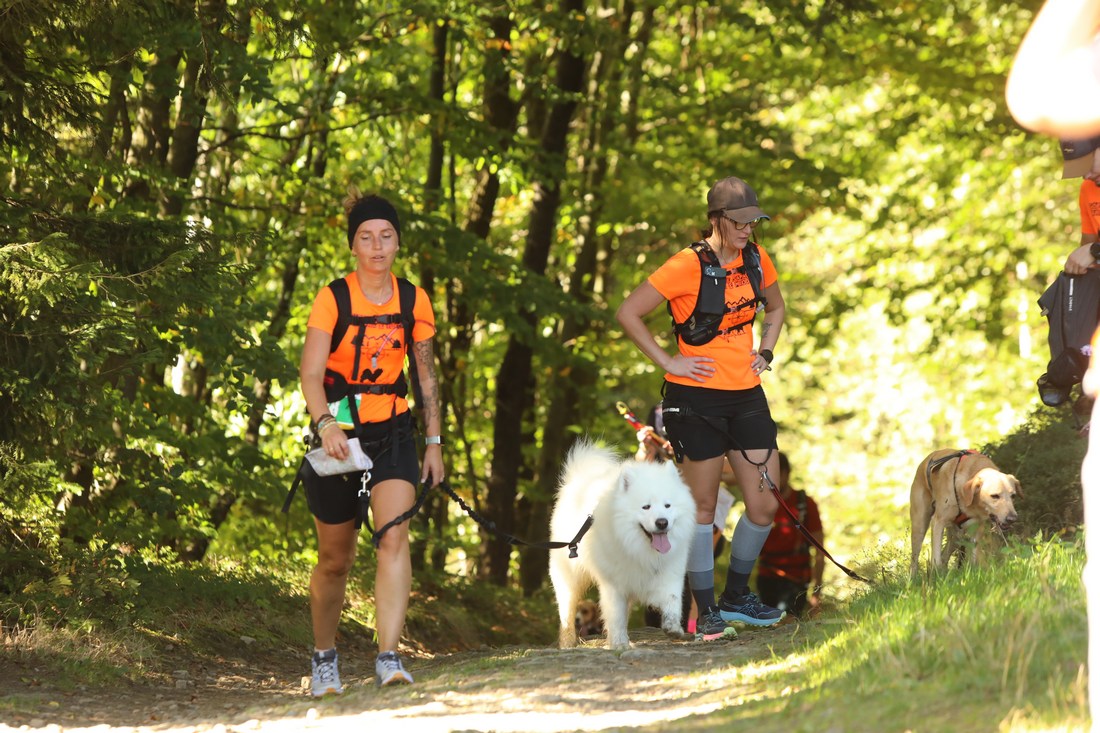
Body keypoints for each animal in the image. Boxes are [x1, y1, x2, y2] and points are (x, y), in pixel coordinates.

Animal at [549, 439, 697, 650]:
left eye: (668, 506)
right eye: (646, 507)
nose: (662, 522)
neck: (640, 549)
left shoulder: (670, 573)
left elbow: (672, 600)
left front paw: (673, 628)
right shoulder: (614, 583)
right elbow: (616, 615)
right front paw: (619, 644)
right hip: (569, 575)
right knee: (566, 611)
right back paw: (568, 642)